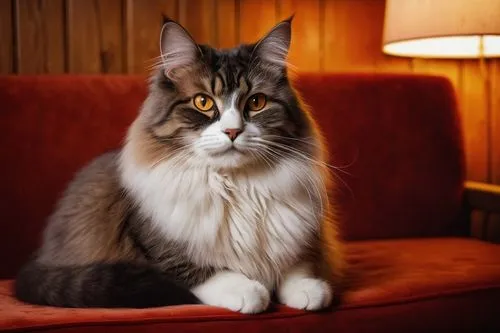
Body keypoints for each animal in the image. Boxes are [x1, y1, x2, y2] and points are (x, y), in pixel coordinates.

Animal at [14, 16, 344, 312]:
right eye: (203, 102)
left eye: (256, 103)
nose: (232, 131)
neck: (235, 186)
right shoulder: (156, 245)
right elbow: (203, 270)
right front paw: (250, 291)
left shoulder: (300, 236)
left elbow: (297, 264)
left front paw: (308, 290)